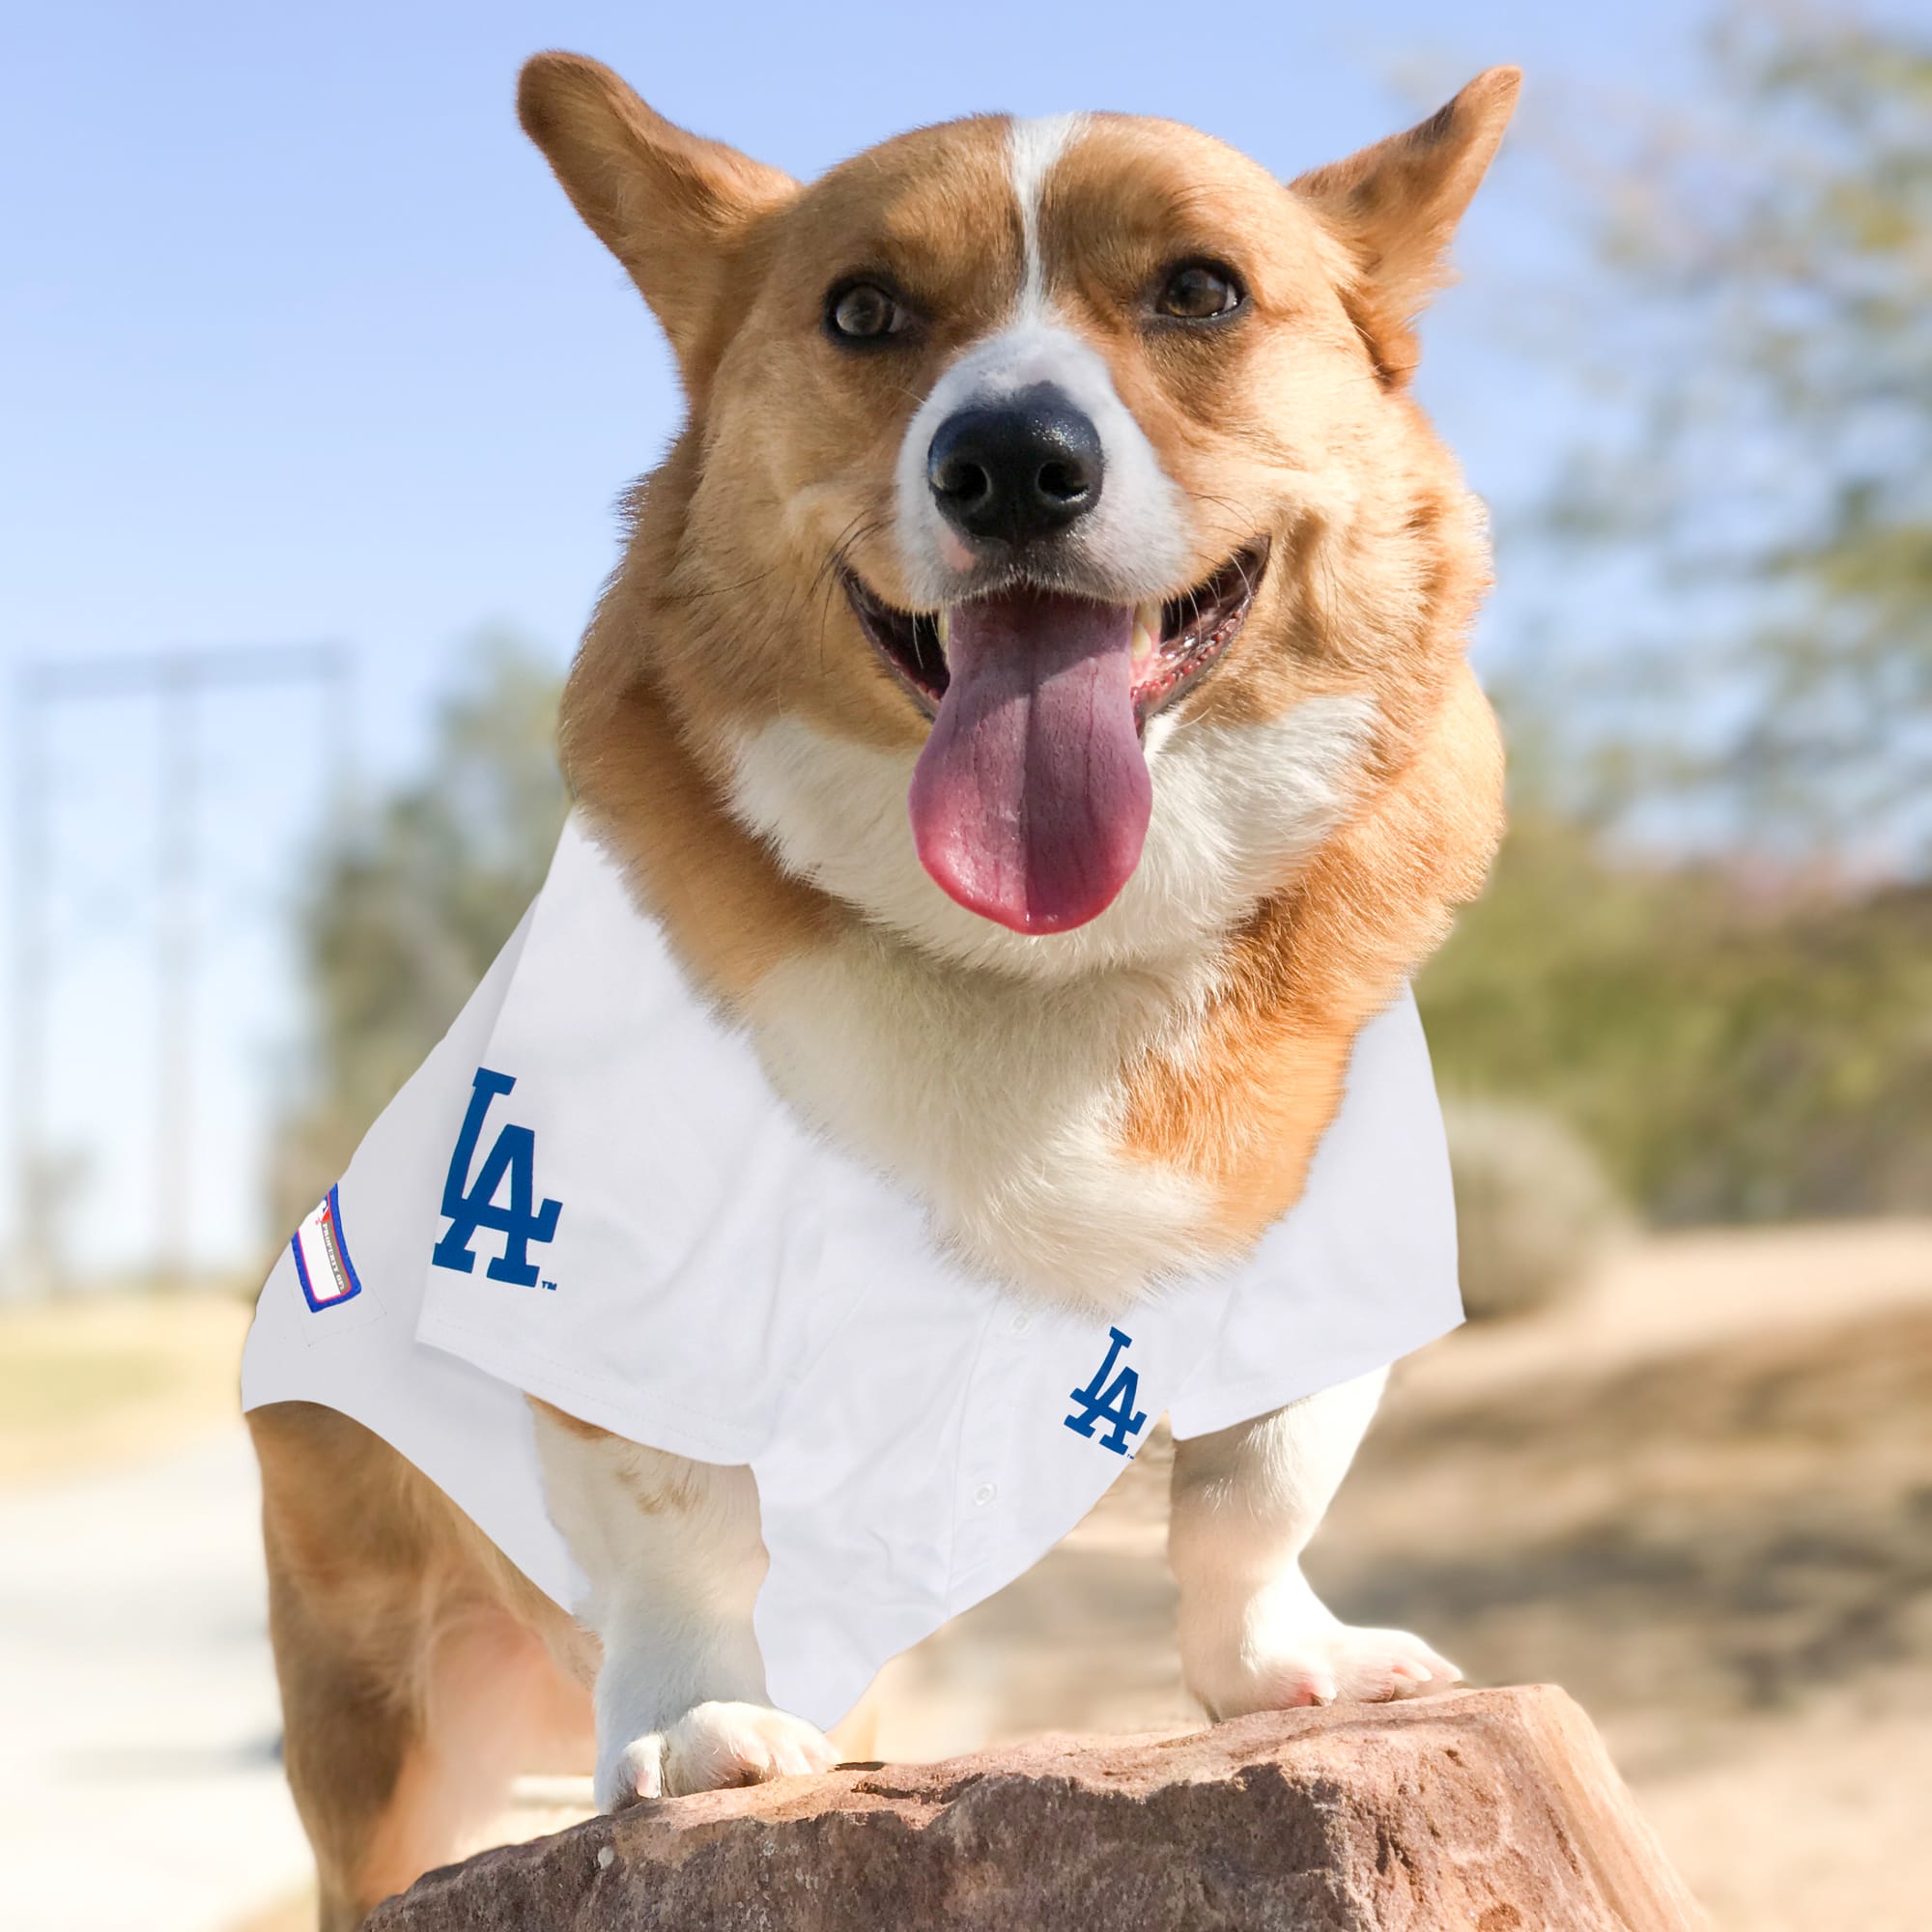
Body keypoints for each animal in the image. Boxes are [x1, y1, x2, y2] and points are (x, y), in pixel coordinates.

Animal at [245, 52, 1507, 1924]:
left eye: (1201, 290)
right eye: (863, 313)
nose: (1011, 463)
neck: (1039, 958)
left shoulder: (1330, 1249)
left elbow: (1259, 1484)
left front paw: (1282, 1665)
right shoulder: (598, 1264)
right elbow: (680, 1511)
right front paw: (702, 1722)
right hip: (383, 1715)